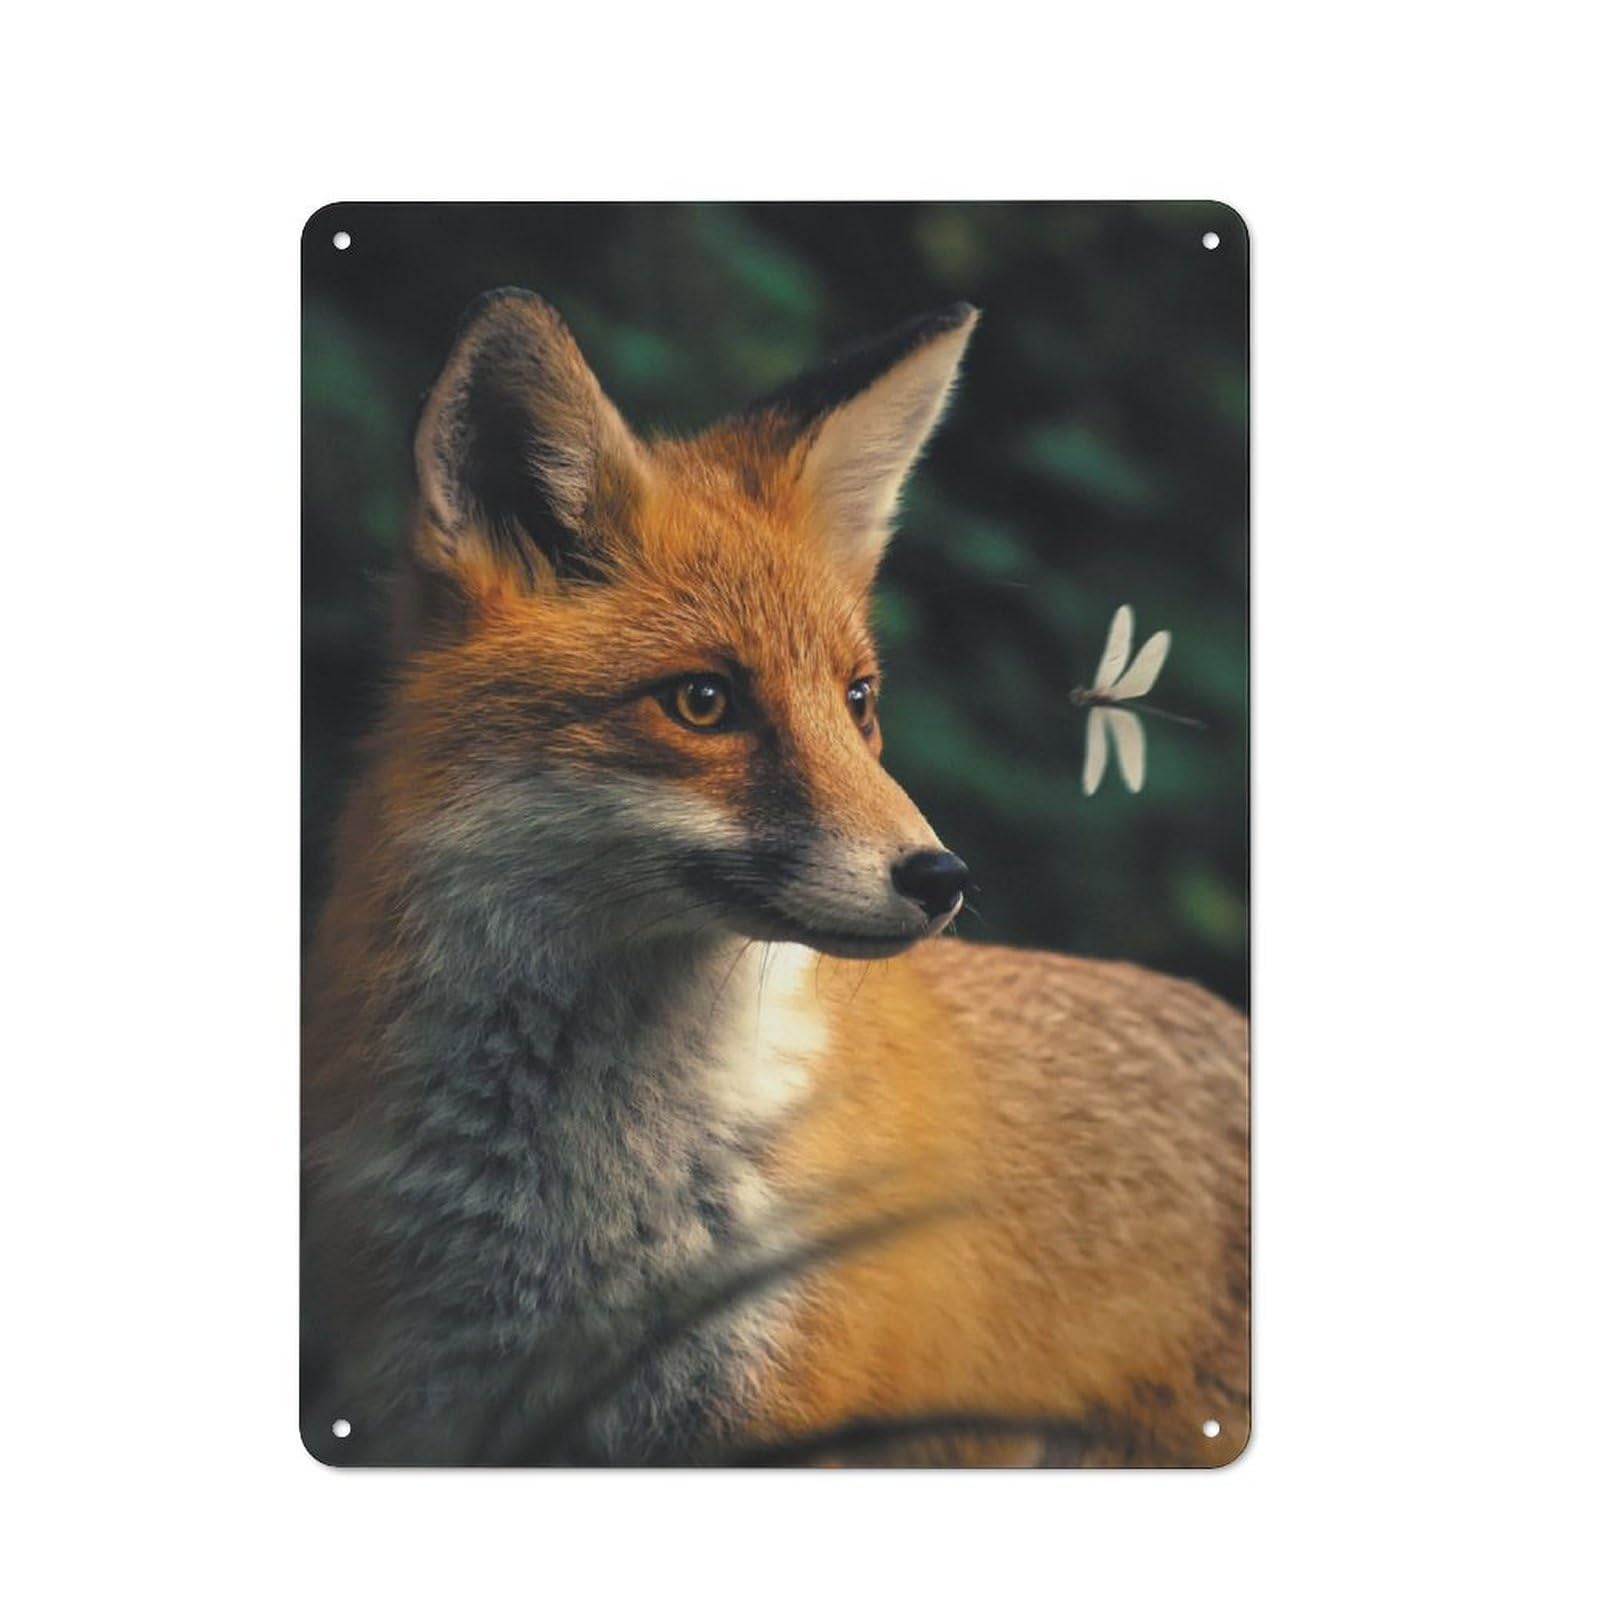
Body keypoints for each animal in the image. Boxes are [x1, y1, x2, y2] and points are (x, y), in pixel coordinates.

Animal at [302, 288, 1248, 1466]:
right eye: (702, 703)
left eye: (858, 700)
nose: (941, 876)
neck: (579, 1205)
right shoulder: (433, 1403)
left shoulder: (778, 1413)